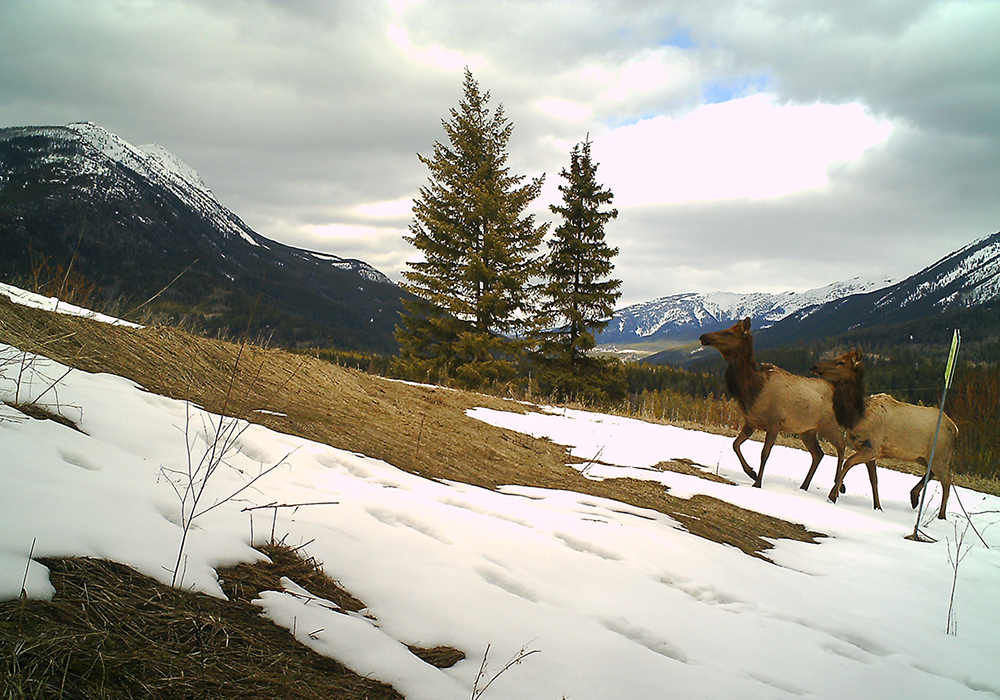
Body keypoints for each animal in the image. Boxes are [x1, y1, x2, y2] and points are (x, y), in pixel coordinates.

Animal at [699, 318, 851, 493]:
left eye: (729, 333)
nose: (703, 336)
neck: (752, 390)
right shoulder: (751, 422)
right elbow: (735, 444)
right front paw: (751, 472)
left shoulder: (775, 422)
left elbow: (764, 453)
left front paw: (757, 482)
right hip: (807, 430)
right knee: (818, 454)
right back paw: (805, 486)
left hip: (828, 424)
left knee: (841, 445)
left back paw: (838, 487)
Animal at [811, 349, 958, 519]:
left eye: (841, 362)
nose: (815, 366)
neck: (856, 417)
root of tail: (956, 430)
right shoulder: (867, 449)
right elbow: (873, 479)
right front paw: (877, 506)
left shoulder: (873, 446)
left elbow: (848, 463)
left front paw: (833, 495)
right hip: (924, 457)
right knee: (933, 473)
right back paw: (914, 497)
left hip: (940, 455)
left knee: (946, 481)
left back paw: (941, 515)